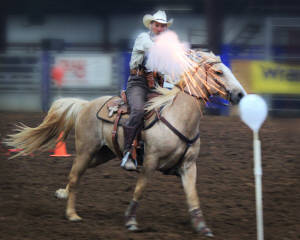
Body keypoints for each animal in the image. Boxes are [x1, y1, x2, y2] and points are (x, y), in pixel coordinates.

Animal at [5, 51, 246, 237]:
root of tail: (85, 105)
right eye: (219, 72)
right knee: (75, 175)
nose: (239, 94)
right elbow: (139, 190)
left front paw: (202, 227)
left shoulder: (188, 166)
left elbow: (192, 196)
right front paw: (130, 220)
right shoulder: (150, 162)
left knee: (76, 176)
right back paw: (72, 214)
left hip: (102, 154)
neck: (179, 116)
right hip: (86, 150)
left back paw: (62, 193)